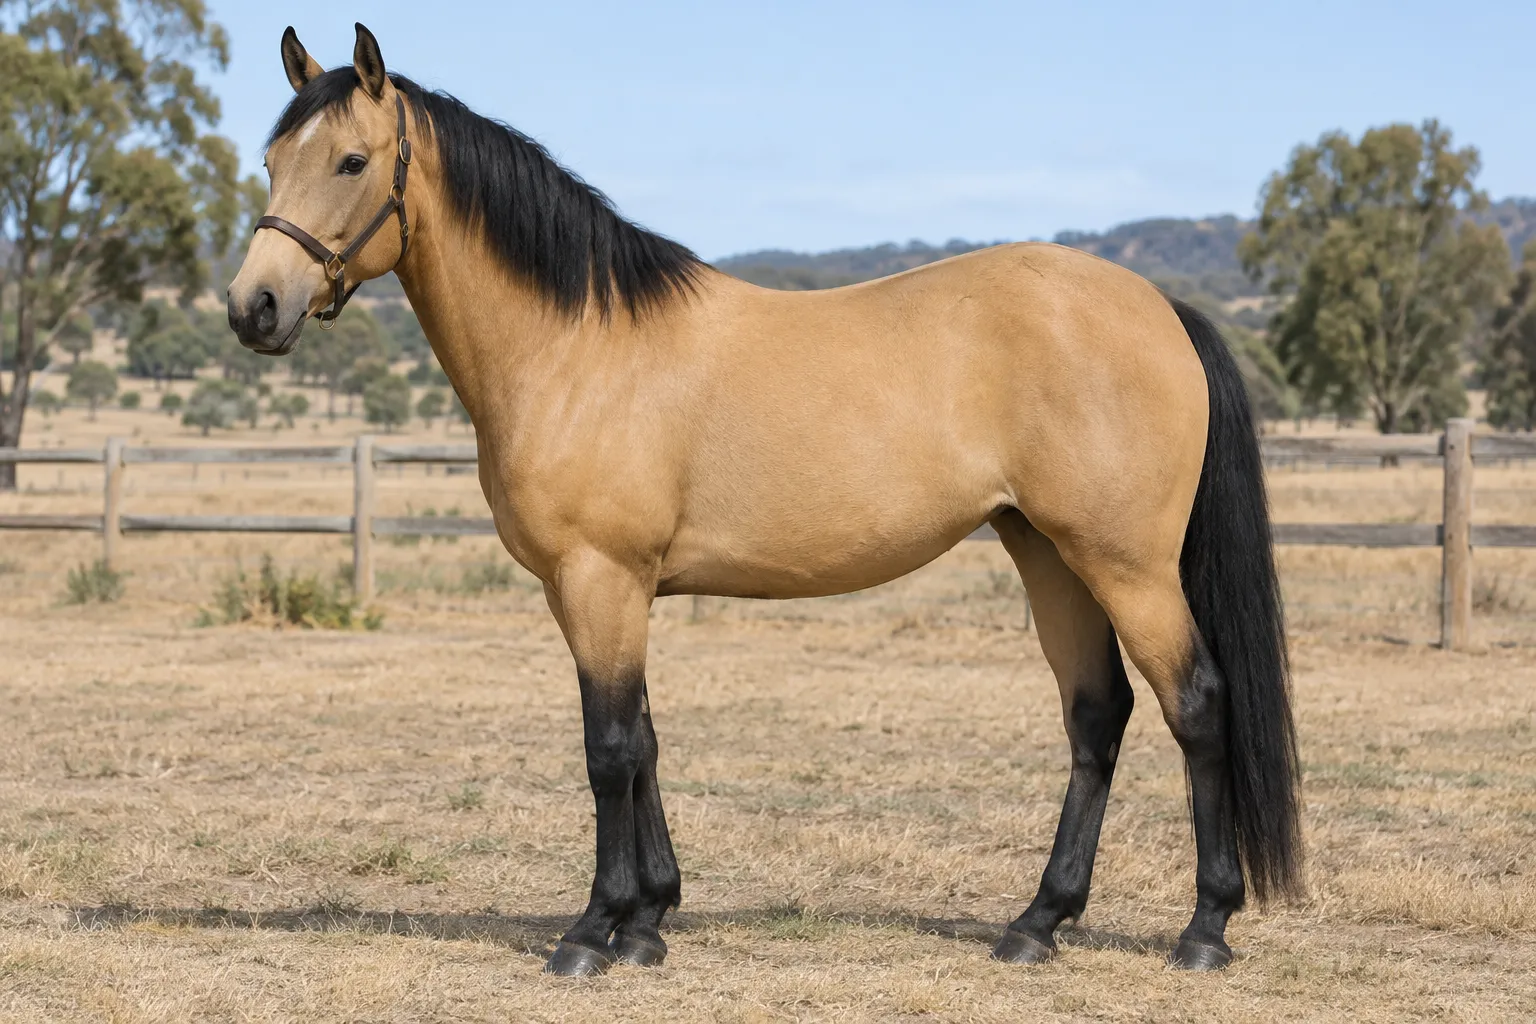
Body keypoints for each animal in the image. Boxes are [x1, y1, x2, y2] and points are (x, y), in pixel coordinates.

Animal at [228, 23, 1301, 977]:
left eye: (353, 161)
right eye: (273, 159)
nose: (253, 309)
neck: (577, 346)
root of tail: (1159, 307)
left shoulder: (599, 579)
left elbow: (608, 748)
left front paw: (592, 933)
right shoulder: (607, 591)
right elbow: (646, 740)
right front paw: (649, 922)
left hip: (1127, 564)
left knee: (1196, 704)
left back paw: (1204, 930)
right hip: (1046, 551)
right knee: (1096, 715)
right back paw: (1037, 923)